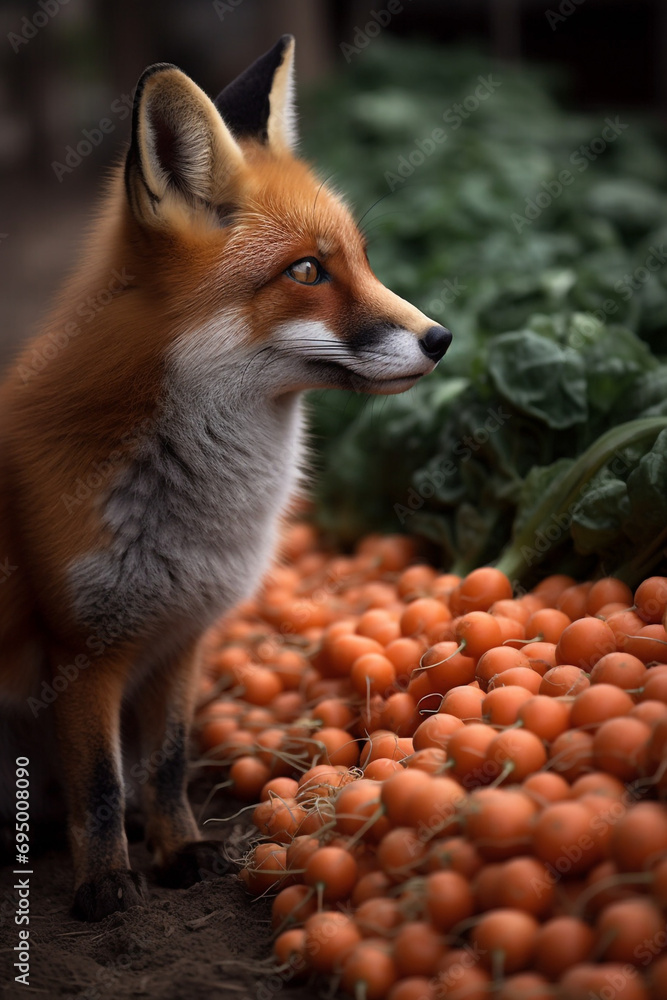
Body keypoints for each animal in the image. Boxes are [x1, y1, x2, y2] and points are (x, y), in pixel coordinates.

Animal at [0, 36, 451, 921]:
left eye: (360, 259)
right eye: (307, 272)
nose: (440, 338)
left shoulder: (183, 635)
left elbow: (167, 763)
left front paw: (176, 850)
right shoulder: (80, 651)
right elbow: (99, 786)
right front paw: (105, 886)